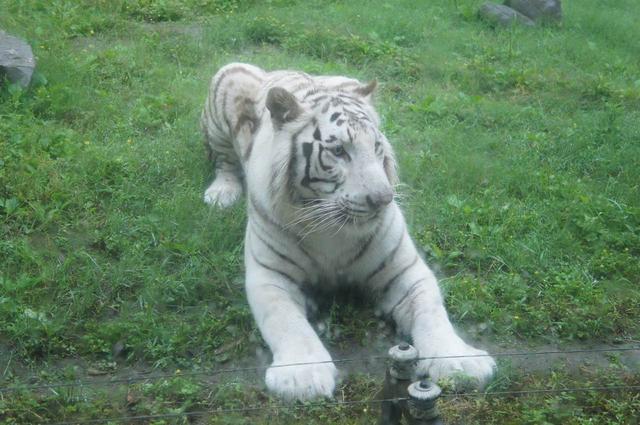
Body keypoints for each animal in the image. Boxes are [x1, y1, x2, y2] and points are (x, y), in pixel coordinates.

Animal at [200, 63, 496, 401]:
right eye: (339, 151)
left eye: (377, 147)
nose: (382, 199)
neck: (333, 228)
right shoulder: (270, 275)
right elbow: (286, 321)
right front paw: (302, 376)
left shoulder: (405, 270)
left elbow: (433, 312)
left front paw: (460, 362)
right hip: (228, 83)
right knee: (223, 163)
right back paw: (221, 194)